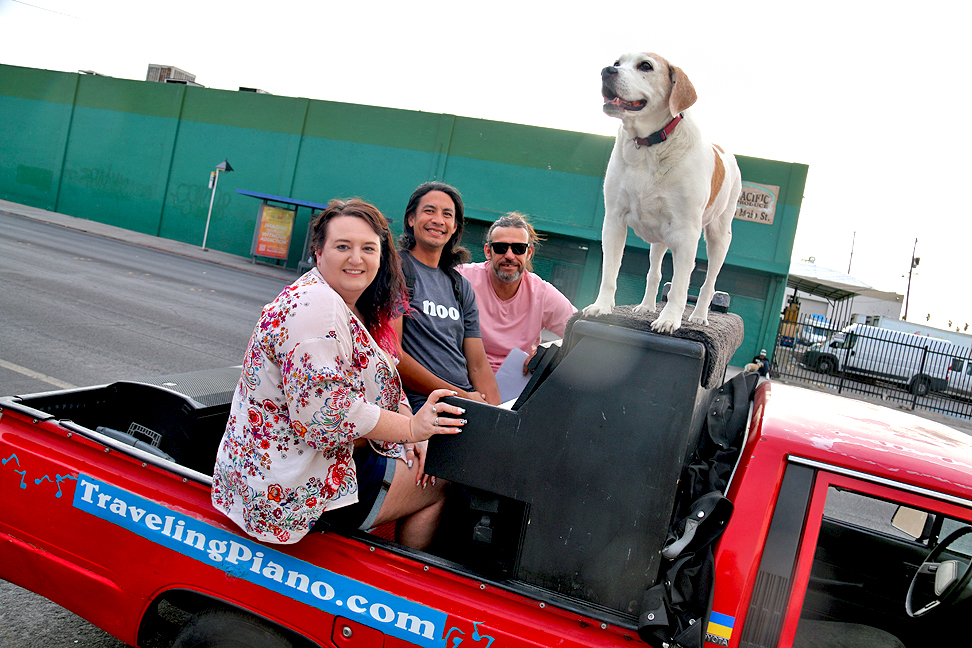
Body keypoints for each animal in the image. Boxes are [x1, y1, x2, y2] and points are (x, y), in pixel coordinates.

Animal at [583, 52, 741, 333]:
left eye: (645, 66)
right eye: (617, 62)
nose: (606, 71)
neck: (649, 146)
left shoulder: (686, 233)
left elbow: (679, 285)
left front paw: (669, 319)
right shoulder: (613, 220)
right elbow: (610, 271)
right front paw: (602, 307)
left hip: (719, 237)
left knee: (708, 284)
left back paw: (699, 316)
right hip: (658, 238)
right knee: (654, 272)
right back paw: (647, 306)